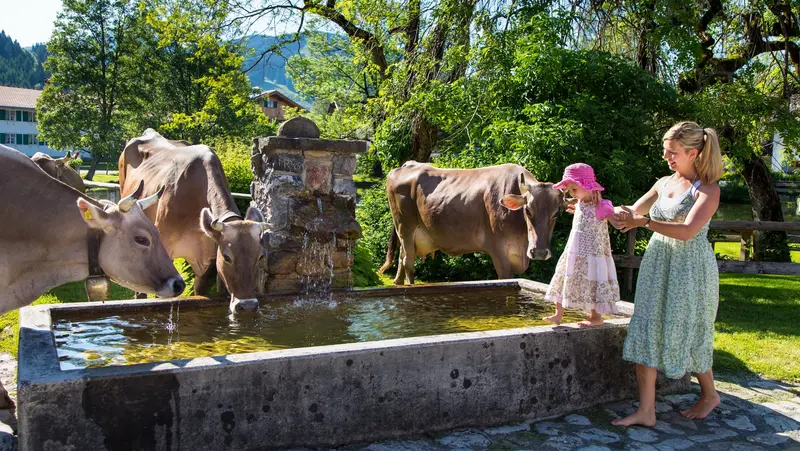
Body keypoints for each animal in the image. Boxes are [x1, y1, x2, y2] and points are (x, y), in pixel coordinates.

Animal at [380, 161, 564, 284]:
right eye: (527, 210)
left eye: (556, 213)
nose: (539, 252)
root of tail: (408, 164)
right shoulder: (498, 251)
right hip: (405, 226)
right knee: (408, 261)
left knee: (402, 256)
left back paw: (397, 282)